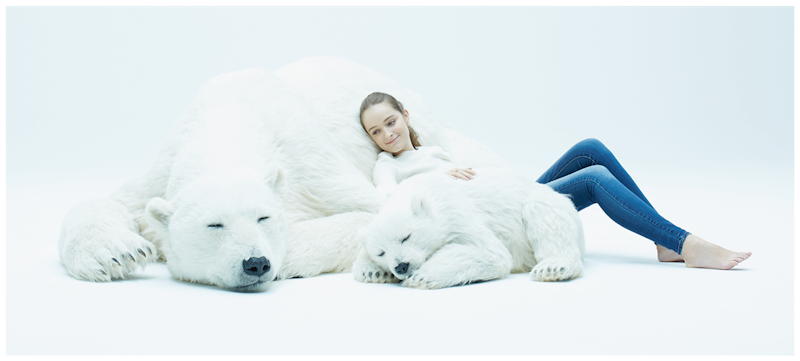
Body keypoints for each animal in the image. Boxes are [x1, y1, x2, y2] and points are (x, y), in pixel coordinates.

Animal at [57, 57, 512, 292]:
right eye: (214, 225)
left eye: (264, 217)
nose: (255, 263)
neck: (229, 121)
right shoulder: (164, 162)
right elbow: (116, 202)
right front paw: (118, 252)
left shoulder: (309, 159)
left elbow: (371, 212)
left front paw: (289, 258)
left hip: (436, 131)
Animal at [354, 167, 584, 288]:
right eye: (381, 252)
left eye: (406, 236)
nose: (401, 266)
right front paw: (373, 272)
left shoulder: (456, 212)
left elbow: (492, 254)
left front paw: (421, 276)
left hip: (550, 205)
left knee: (542, 212)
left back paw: (553, 267)